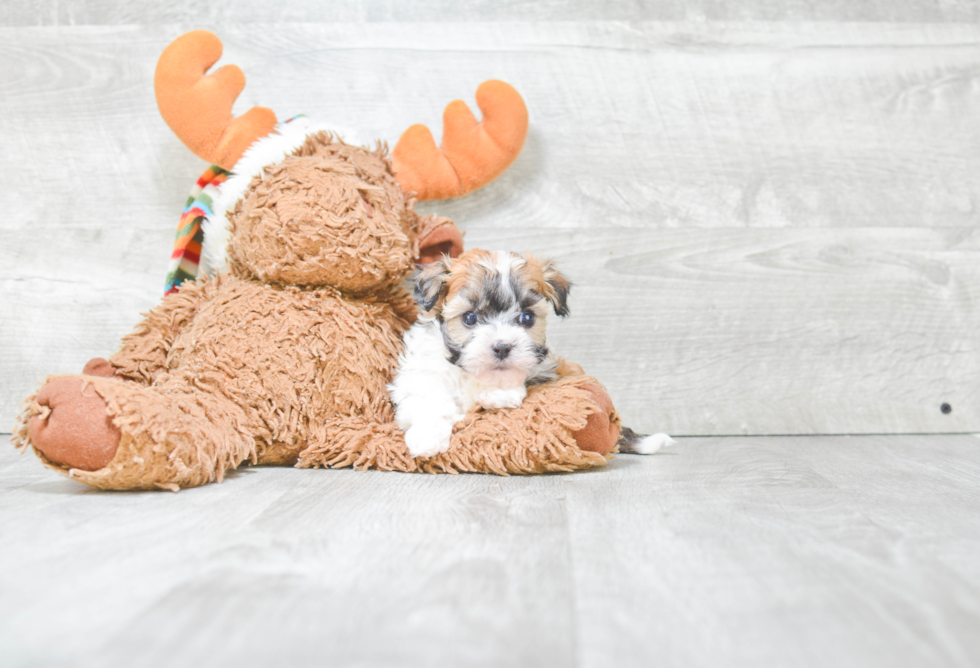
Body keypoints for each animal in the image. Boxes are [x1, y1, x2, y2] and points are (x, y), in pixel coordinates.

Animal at [388, 249, 672, 460]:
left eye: (526, 318)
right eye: (470, 318)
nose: (502, 347)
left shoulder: (549, 367)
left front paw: (499, 392)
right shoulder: (421, 372)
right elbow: (427, 398)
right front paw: (427, 438)